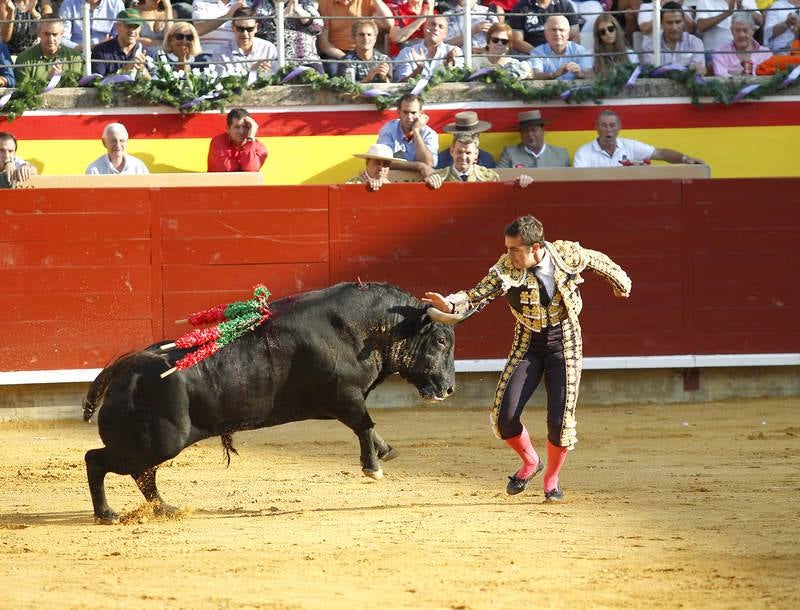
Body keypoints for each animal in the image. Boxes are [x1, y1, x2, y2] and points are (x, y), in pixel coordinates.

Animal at [83, 282, 456, 524]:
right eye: (440, 341)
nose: (449, 388)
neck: (362, 328)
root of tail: (131, 365)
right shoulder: (345, 395)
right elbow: (363, 424)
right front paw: (372, 466)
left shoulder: (348, 399)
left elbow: (368, 426)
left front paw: (385, 451)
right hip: (159, 442)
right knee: (99, 461)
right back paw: (108, 514)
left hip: (154, 444)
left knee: (141, 475)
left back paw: (165, 510)